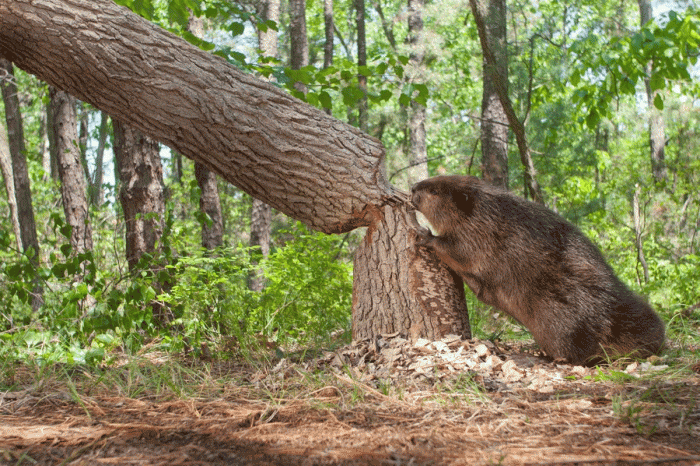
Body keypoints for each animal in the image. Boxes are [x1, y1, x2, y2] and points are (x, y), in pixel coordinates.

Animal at [412, 175, 664, 364]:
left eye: (434, 191)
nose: (413, 187)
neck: (484, 210)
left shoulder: (480, 234)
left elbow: (458, 250)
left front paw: (424, 235)